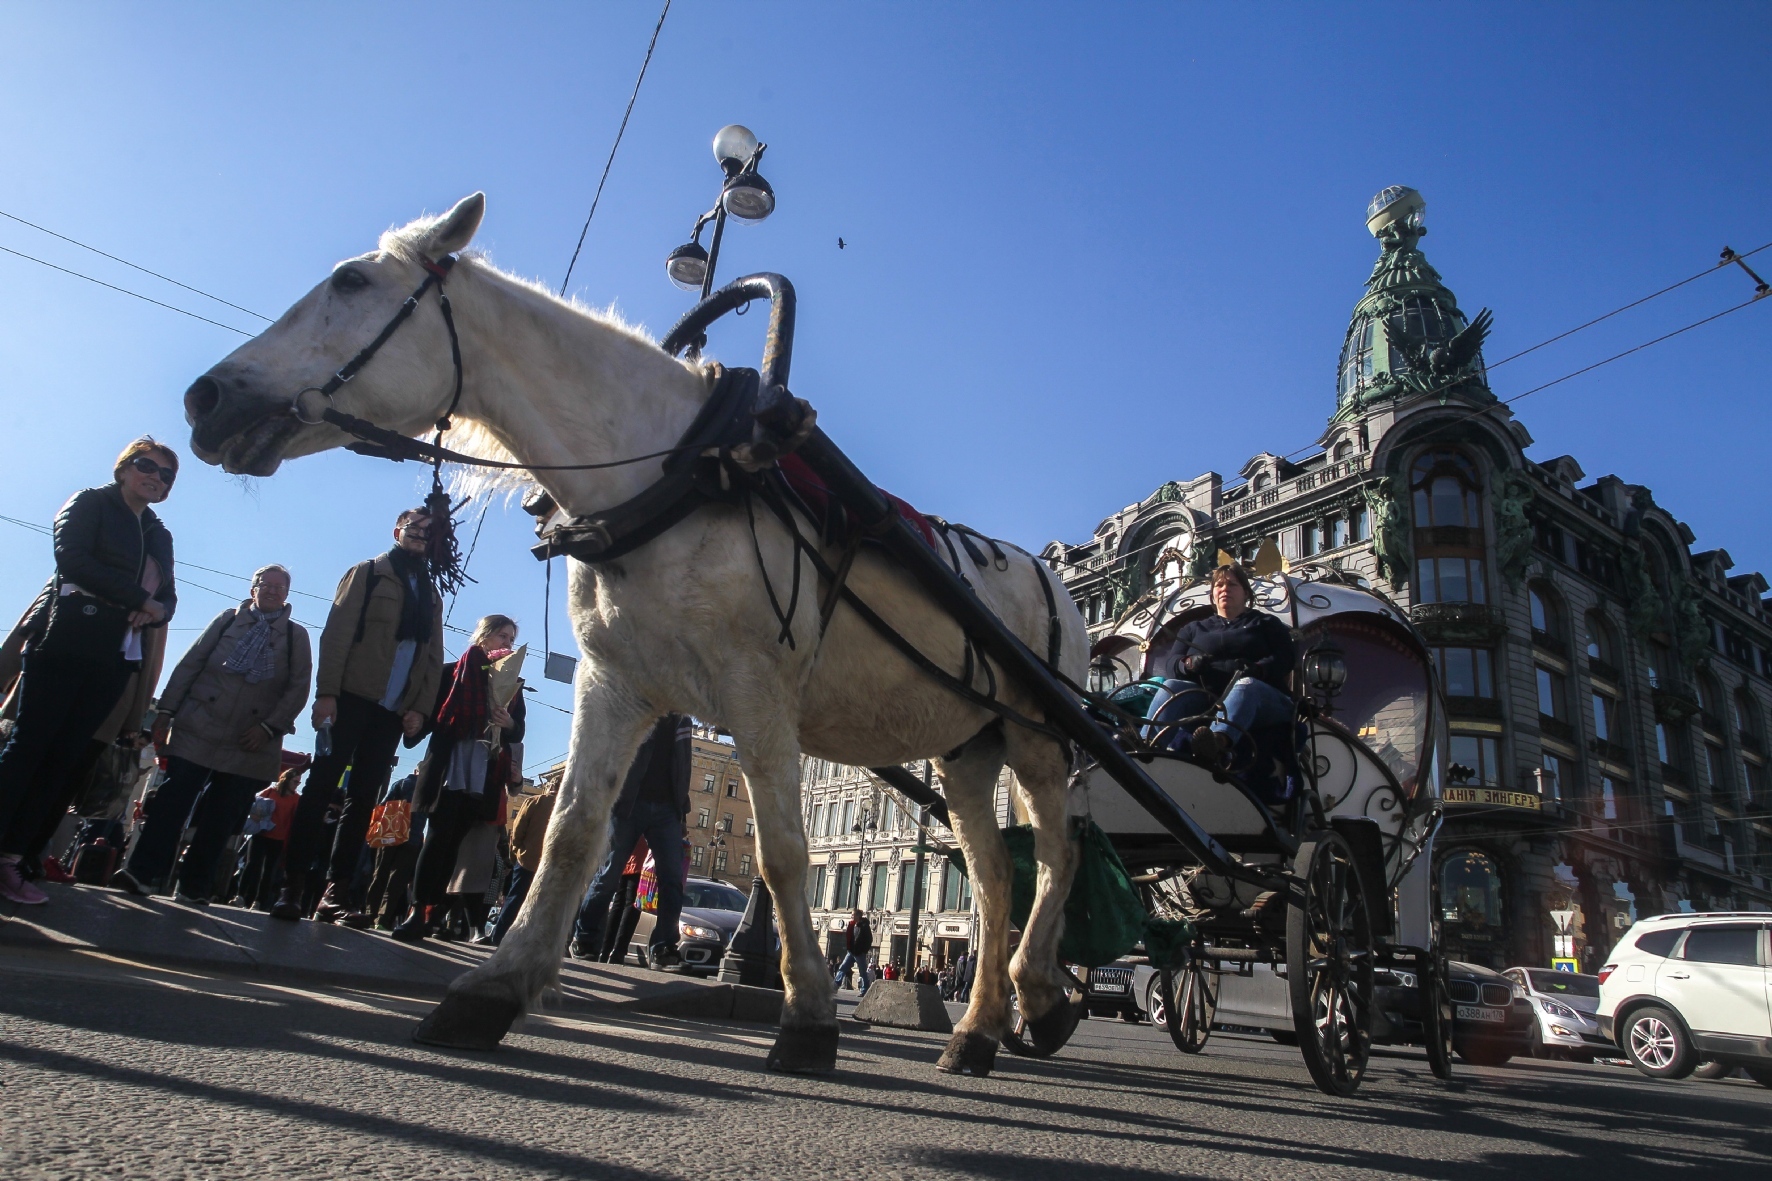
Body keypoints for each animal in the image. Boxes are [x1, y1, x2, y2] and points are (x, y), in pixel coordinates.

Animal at [186, 190, 1084, 1063]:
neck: (683, 468)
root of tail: (1053, 580)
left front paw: (807, 1016)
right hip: (967, 749)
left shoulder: (760, 693)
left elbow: (782, 852)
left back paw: (1038, 994)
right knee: (995, 874)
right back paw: (978, 1028)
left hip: (1037, 737)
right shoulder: (615, 682)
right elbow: (574, 832)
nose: (206, 398)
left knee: (1056, 854)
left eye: (350, 281)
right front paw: (494, 988)